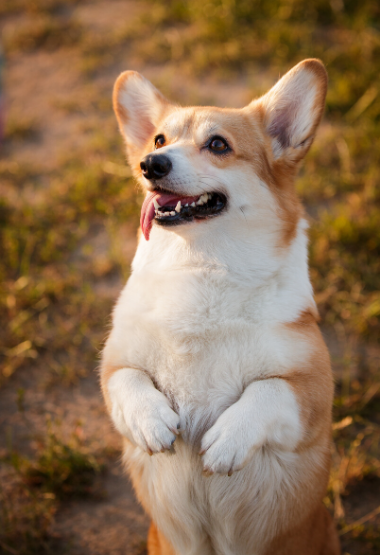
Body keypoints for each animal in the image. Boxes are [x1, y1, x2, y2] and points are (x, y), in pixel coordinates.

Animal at [100, 58, 342, 552]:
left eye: (218, 144)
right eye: (159, 140)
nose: (150, 164)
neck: (201, 265)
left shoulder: (311, 392)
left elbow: (268, 391)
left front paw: (226, 441)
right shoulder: (113, 363)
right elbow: (126, 380)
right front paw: (152, 423)